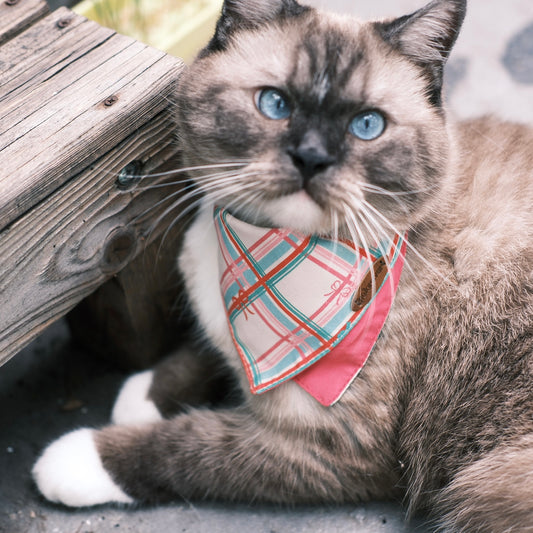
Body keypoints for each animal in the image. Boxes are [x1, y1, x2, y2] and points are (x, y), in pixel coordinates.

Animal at [32, 2, 532, 528]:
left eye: (367, 125)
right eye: (275, 104)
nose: (311, 158)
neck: (266, 252)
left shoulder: (327, 446)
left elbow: (187, 447)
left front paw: (80, 459)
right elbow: (201, 349)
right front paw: (143, 396)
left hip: (487, 485)